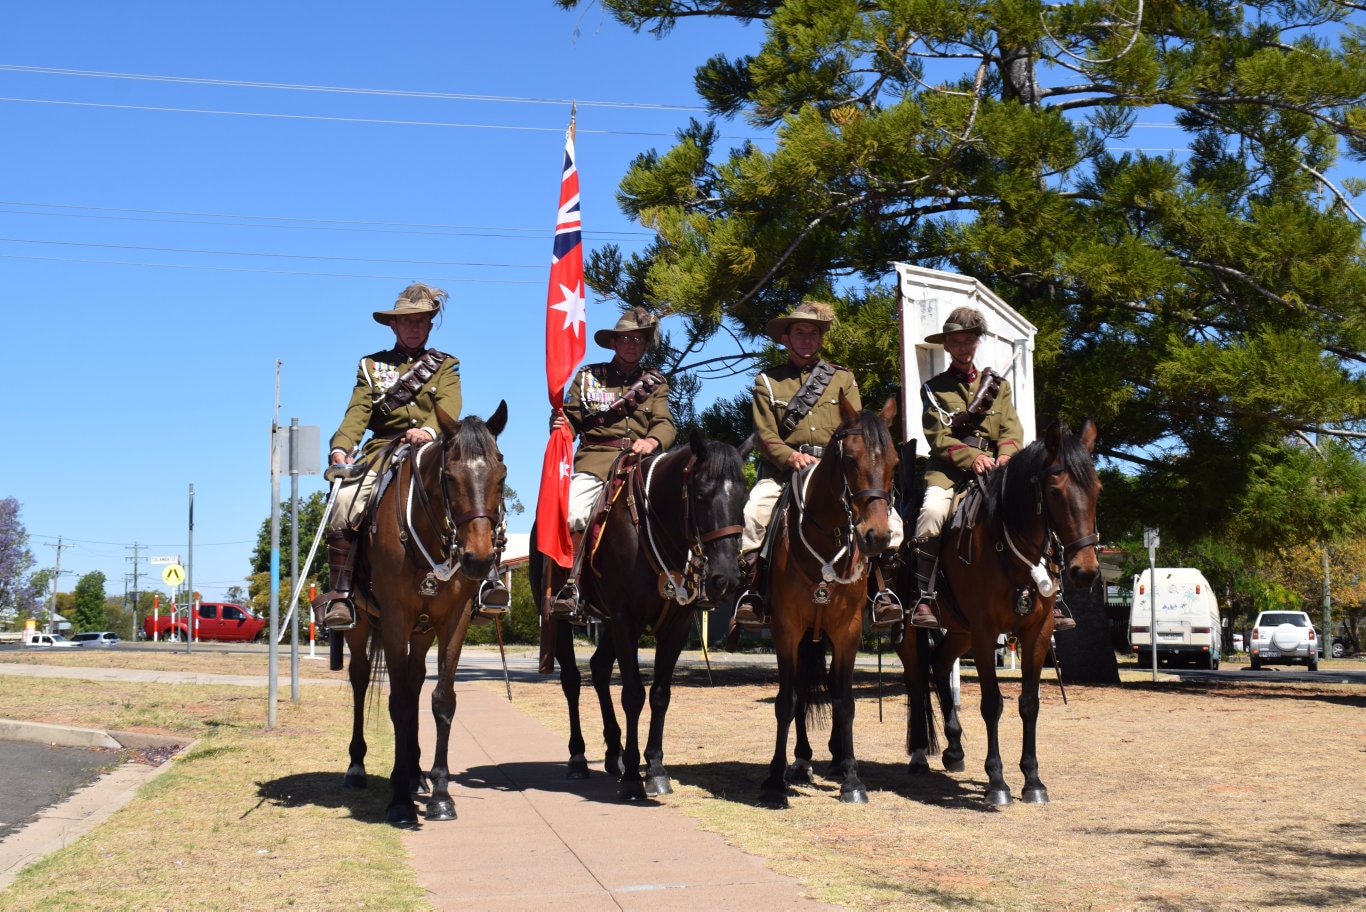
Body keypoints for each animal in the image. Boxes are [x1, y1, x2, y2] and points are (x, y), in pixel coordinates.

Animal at [333, 401, 510, 824]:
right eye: (450, 476)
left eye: (501, 475)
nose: (479, 559)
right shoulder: (396, 620)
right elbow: (397, 703)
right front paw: (398, 799)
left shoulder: (453, 621)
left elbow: (441, 700)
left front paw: (441, 793)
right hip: (362, 625)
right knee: (361, 679)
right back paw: (357, 767)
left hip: (423, 630)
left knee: (414, 683)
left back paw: (416, 774)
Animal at [530, 434, 748, 797]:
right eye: (701, 495)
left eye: (743, 499)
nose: (727, 577)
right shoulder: (624, 620)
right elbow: (633, 694)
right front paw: (634, 776)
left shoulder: (675, 626)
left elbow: (660, 695)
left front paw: (655, 768)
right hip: (560, 620)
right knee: (572, 681)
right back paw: (579, 757)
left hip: (606, 625)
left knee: (599, 669)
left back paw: (613, 753)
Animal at [759, 395, 896, 808]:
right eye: (850, 459)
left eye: (894, 461)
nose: (876, 537)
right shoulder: (786, 630)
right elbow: (787, 701)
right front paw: (774, 781)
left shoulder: (848, 631)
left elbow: (844, 701)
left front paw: (852, 778)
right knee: (803, 693)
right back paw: (801, 760)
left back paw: (834, 760)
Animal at [896, 417, 1098, 802]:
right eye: (1054, 490)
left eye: (1097, 489)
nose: (1086, 571)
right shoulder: (986, 632)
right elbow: (992, 704)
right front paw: (997, 781)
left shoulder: (1037, 632)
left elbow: (1029, 703)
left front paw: (1033, 780)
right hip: (914, 629)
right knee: (915, 679)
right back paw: (918, 755)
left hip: (960, 630)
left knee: (940, 664)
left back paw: (954, 750)